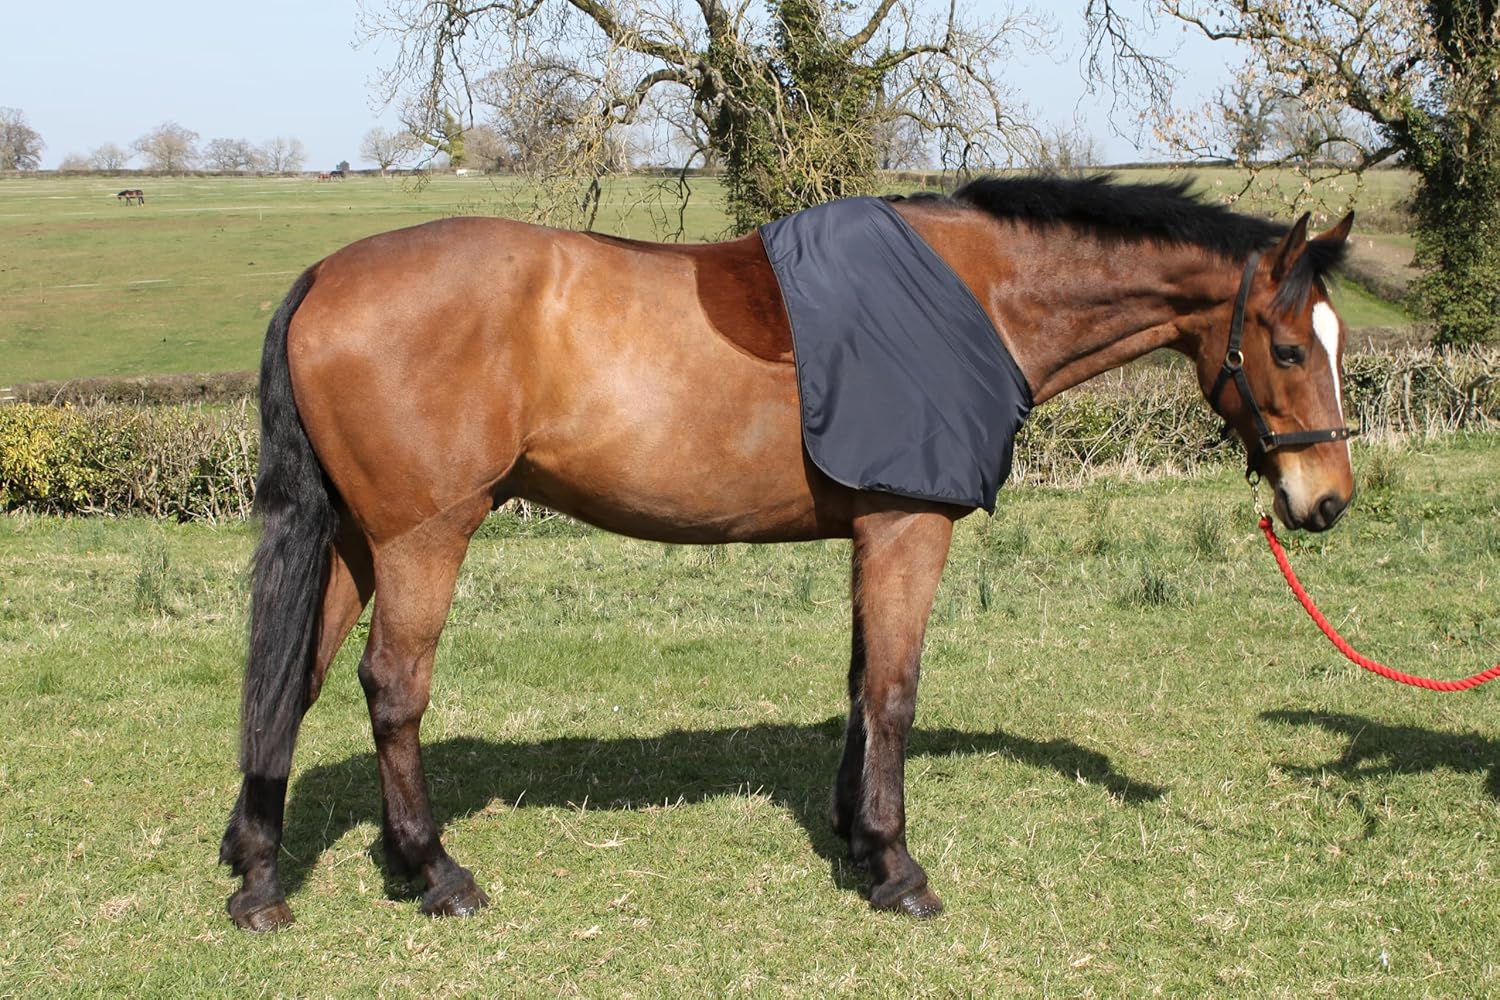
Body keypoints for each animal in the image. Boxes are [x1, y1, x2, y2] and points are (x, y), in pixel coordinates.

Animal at [219, 175, 1357, 931]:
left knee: (291, 683)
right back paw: (435, 872)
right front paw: (898, 867)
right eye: (1288, 348)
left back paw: (260, 873)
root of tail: (324, 276)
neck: (980, 294)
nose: (1328, 499)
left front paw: (856, 836)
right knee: (390, 687)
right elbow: (894, 689)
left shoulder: (870, 531)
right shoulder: (907, 525)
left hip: (354, 542)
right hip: (422, 537)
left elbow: (859, 685)